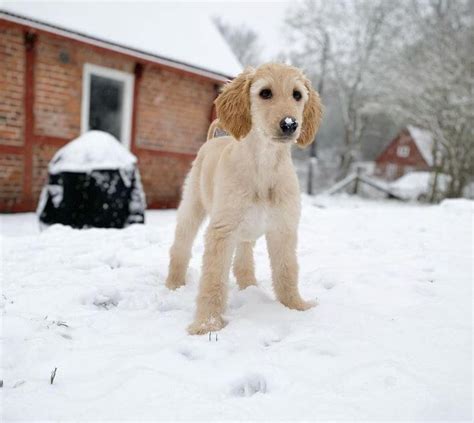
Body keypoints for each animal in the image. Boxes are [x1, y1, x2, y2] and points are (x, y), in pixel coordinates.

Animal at [165, 62, 324, 334]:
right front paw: (207, 324)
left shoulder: (283, 228)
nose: (290, 124)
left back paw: (249, 287)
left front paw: (295, 306)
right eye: (265, 93)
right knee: (180, 247)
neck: (264, 165)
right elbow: (213, 279)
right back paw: (173, 284)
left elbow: (287, 271)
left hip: (244, 231)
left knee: (242, 260)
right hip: (192, 207)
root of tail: (212, 141)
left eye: (297, 95)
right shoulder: (222, 230)